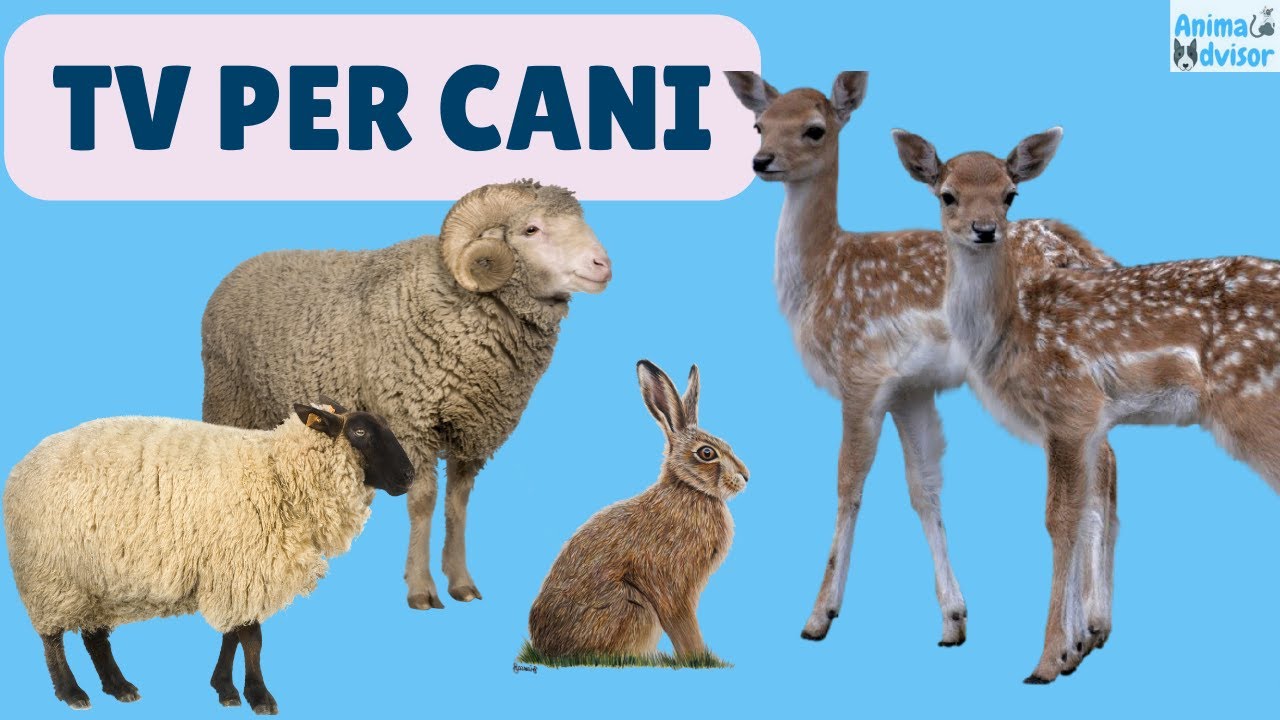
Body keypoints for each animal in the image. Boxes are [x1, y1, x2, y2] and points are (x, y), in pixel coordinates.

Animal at [3, 399, 414, 713]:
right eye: (359, 433)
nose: (409, 475)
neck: (279, 473)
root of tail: (21, 466)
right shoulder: (239, 563)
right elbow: (252, 638)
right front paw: (259, 695)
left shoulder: (233, 572)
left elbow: (234, 635)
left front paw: (226, 688)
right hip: (50, 576)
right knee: (52, 638)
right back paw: (70, 691)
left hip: (96, 580)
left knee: (94, 637)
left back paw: (119, 686)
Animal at [201, 179, 612, 610]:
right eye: (531, 229)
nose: (603, 265)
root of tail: (239, 268)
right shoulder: (412, 420)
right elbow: (423, 502)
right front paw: (421, 588)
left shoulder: (471, 431)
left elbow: (457, 506)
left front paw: (461, 582)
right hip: (227, 397)